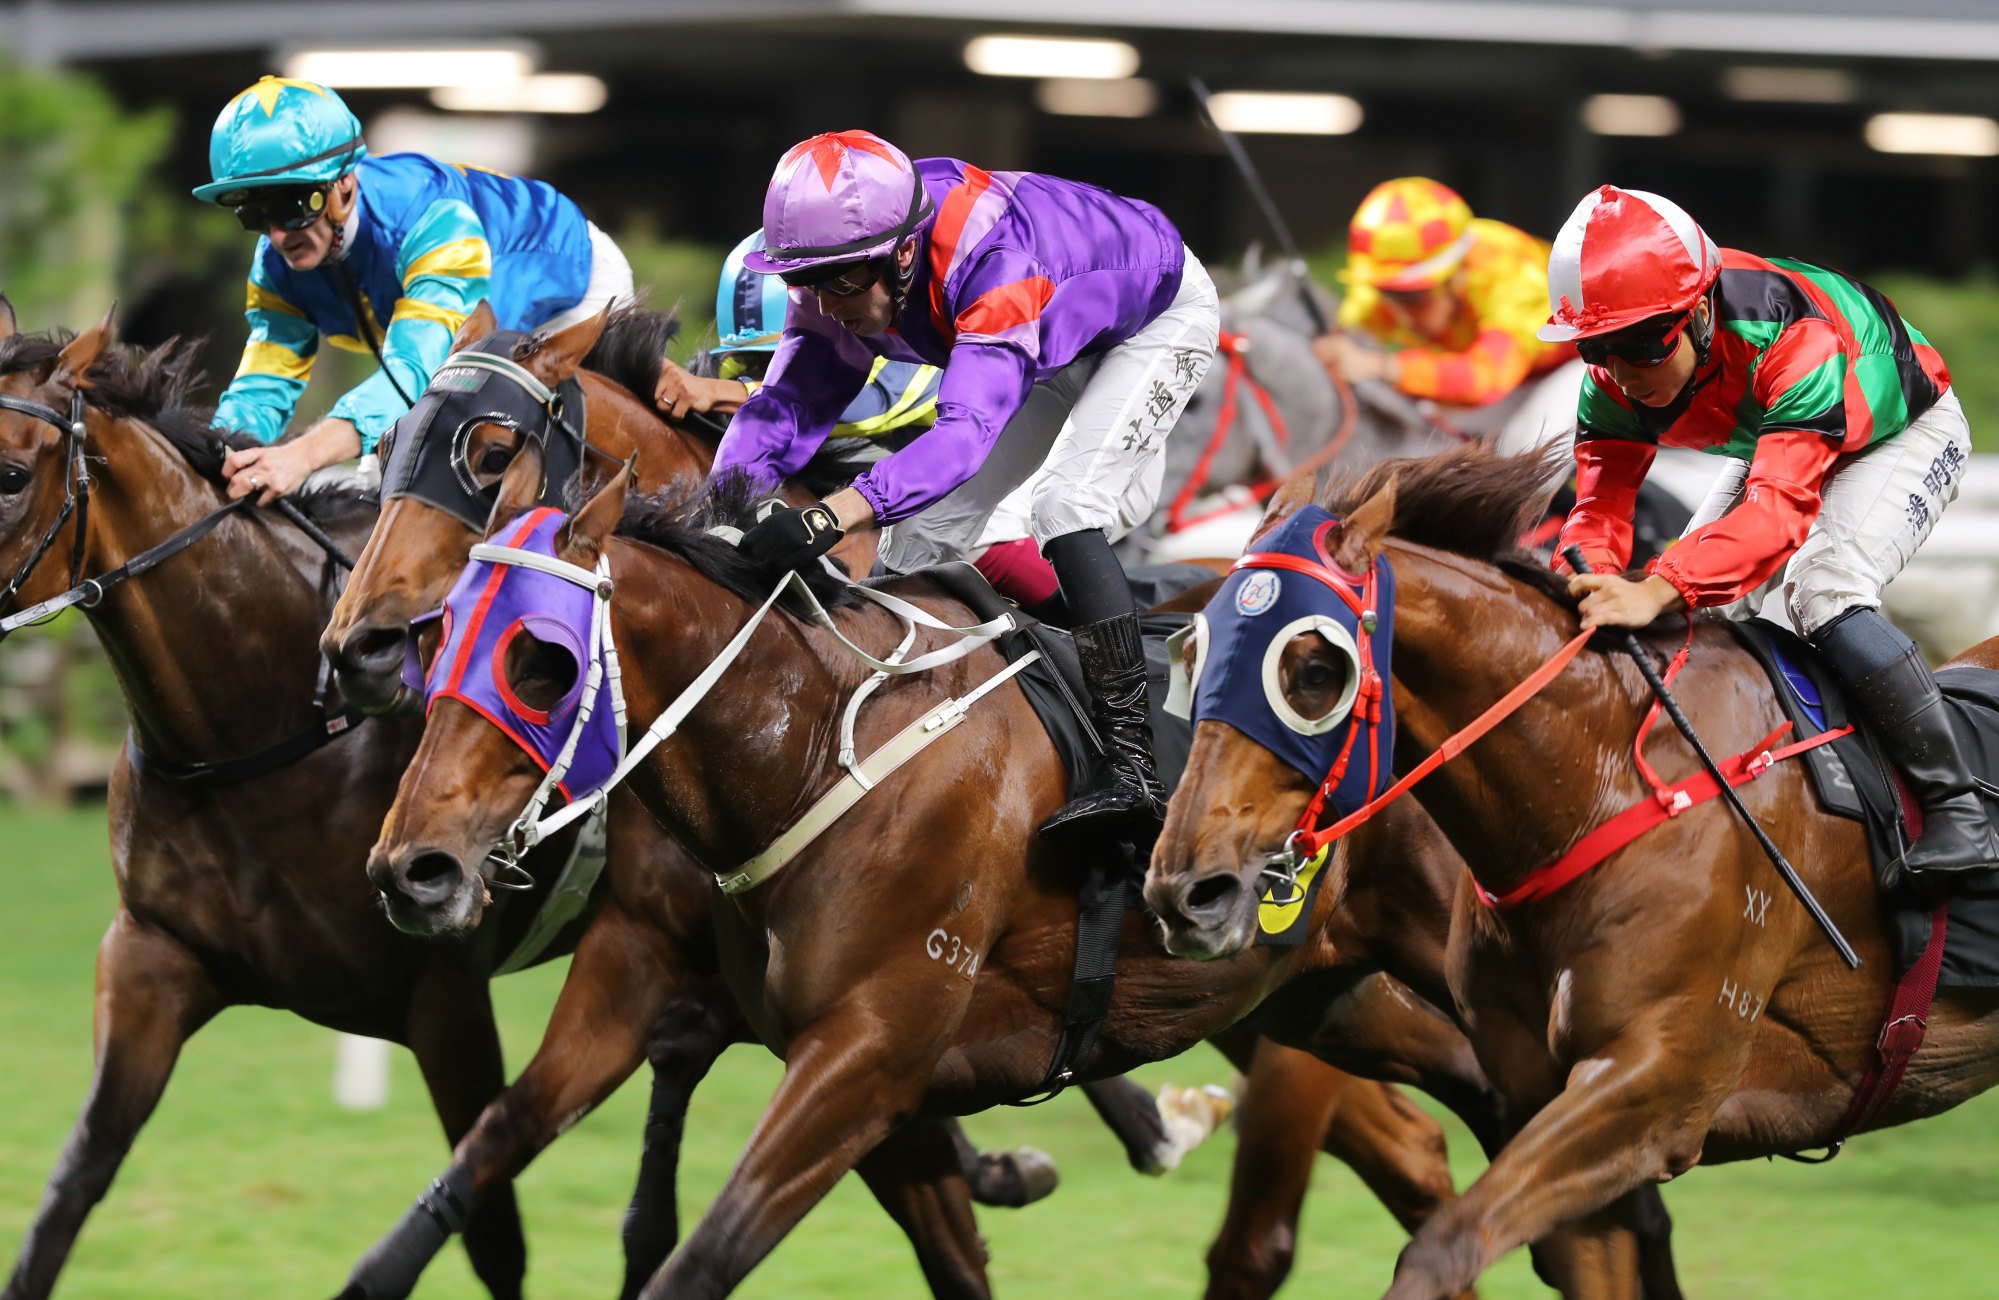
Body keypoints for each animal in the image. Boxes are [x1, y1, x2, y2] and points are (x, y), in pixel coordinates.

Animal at [327, 312, 1479, 1296]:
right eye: (388, 453)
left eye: (486, 451)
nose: (357, 642)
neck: (815, 733)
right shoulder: (679, 972)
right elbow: (507, 1133)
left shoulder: (867, 1047)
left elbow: (696, 1229)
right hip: (1319, 990)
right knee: (1432, 1136)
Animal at [1151, 438, 1999, 1296]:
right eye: (1191, 651)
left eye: (1315, 672)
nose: (1186, 892)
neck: (1605, 783)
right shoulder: (1545, 1103)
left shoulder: (1656, 1087)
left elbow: (1442, 1245)